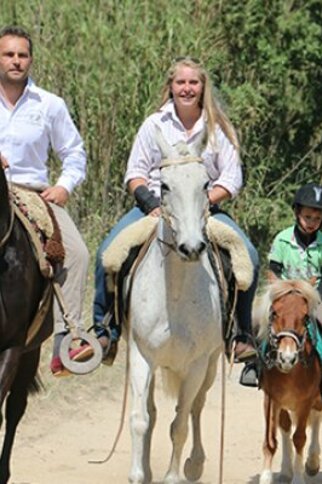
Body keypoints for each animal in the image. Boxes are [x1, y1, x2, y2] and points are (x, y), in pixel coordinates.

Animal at [126, 132, 224, 484]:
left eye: (206, 183)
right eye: (165, 186)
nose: (192, 248)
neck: (176, 297)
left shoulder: (196, 365)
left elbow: (180, 424)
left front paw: (173, 475)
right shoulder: (141, 357)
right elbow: (141, 419)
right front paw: (138, 474)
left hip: (210, 366)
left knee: (195, 407)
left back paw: (194, 464)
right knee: (154, 413)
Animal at [255, 278, 322, 484]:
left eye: (305, 316)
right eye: (274, 313)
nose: (287, 358)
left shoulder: (305, 402)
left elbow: (299, 438)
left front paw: (299, 477)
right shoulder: (270, 399)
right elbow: (270, 440)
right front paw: (267, 477)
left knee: (316, 418)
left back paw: (312, 462)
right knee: (285, 426)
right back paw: (286, 470)